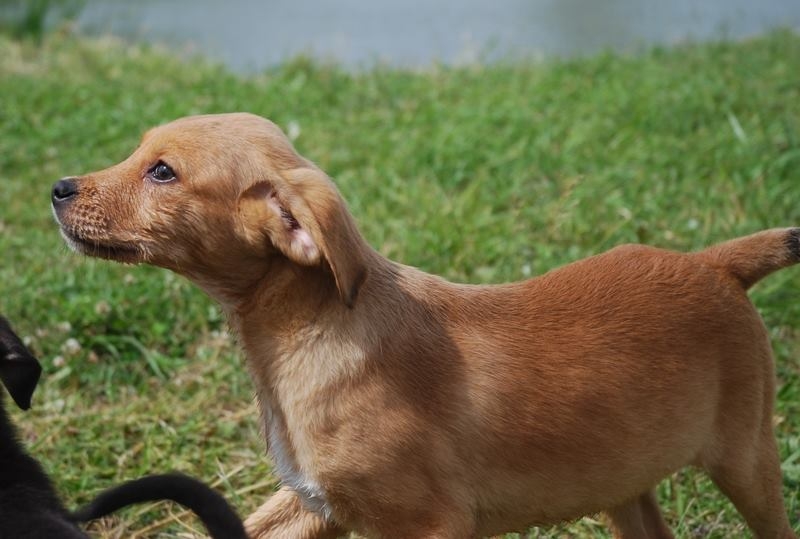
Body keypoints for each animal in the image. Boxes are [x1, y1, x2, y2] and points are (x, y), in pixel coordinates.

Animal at [53, 112, 796, 536]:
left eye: (162, 172)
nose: (57, 189)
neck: (308, 331)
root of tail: (714, 262)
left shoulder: (432, 522)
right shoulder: (313, 504)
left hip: (746, 455)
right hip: (624, 476)